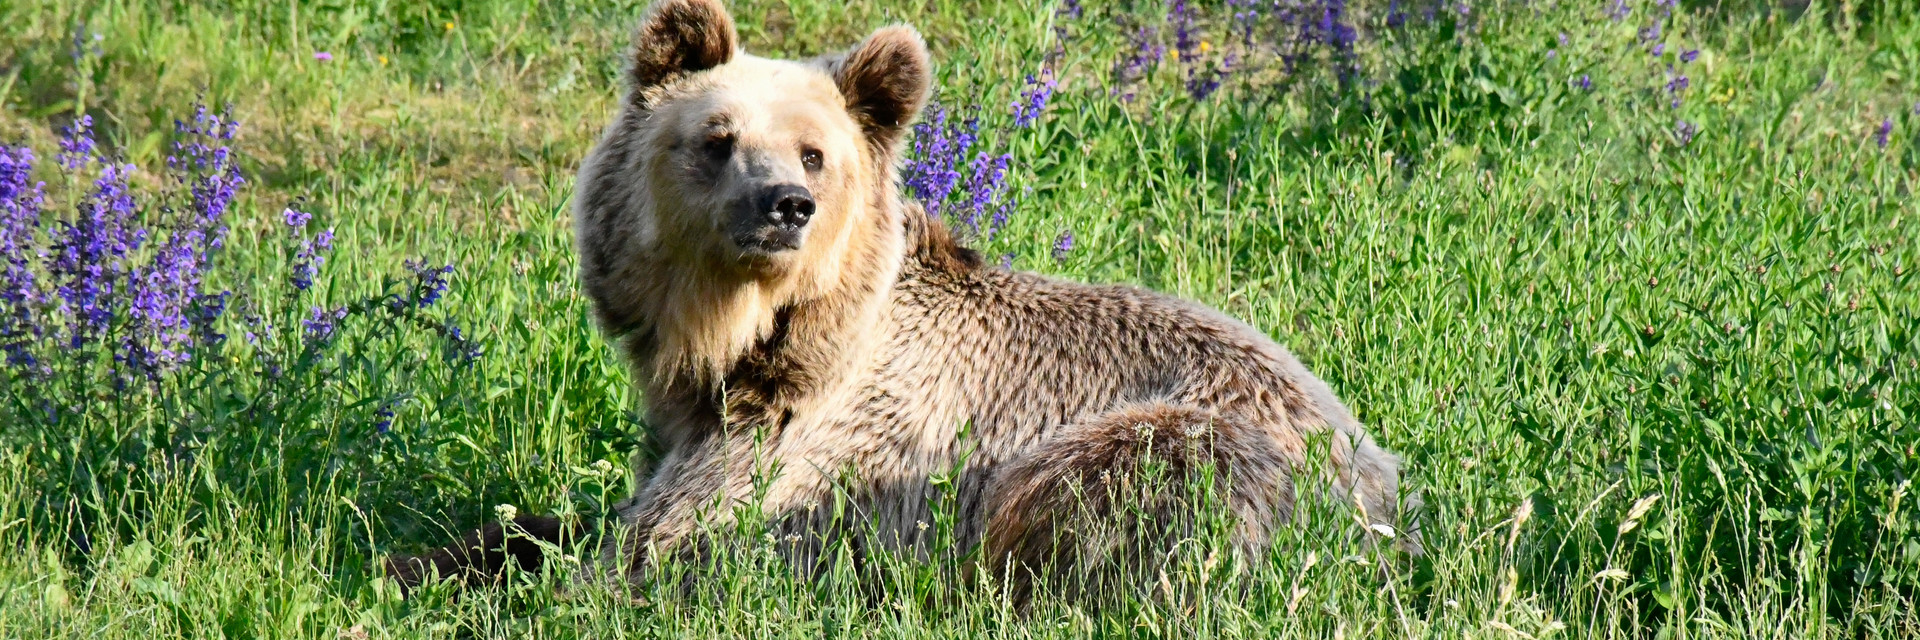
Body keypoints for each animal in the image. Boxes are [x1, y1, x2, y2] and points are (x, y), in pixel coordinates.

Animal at [386, 0, 1417, 601]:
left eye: (814, 152)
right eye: (719, 137)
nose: (784, 205)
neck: (745, 343)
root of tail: (1383, 490)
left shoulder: (825, 445)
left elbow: (666, 548)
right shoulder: (692, 424)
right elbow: (587, 517)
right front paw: (435, 553)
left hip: (1190, 446)